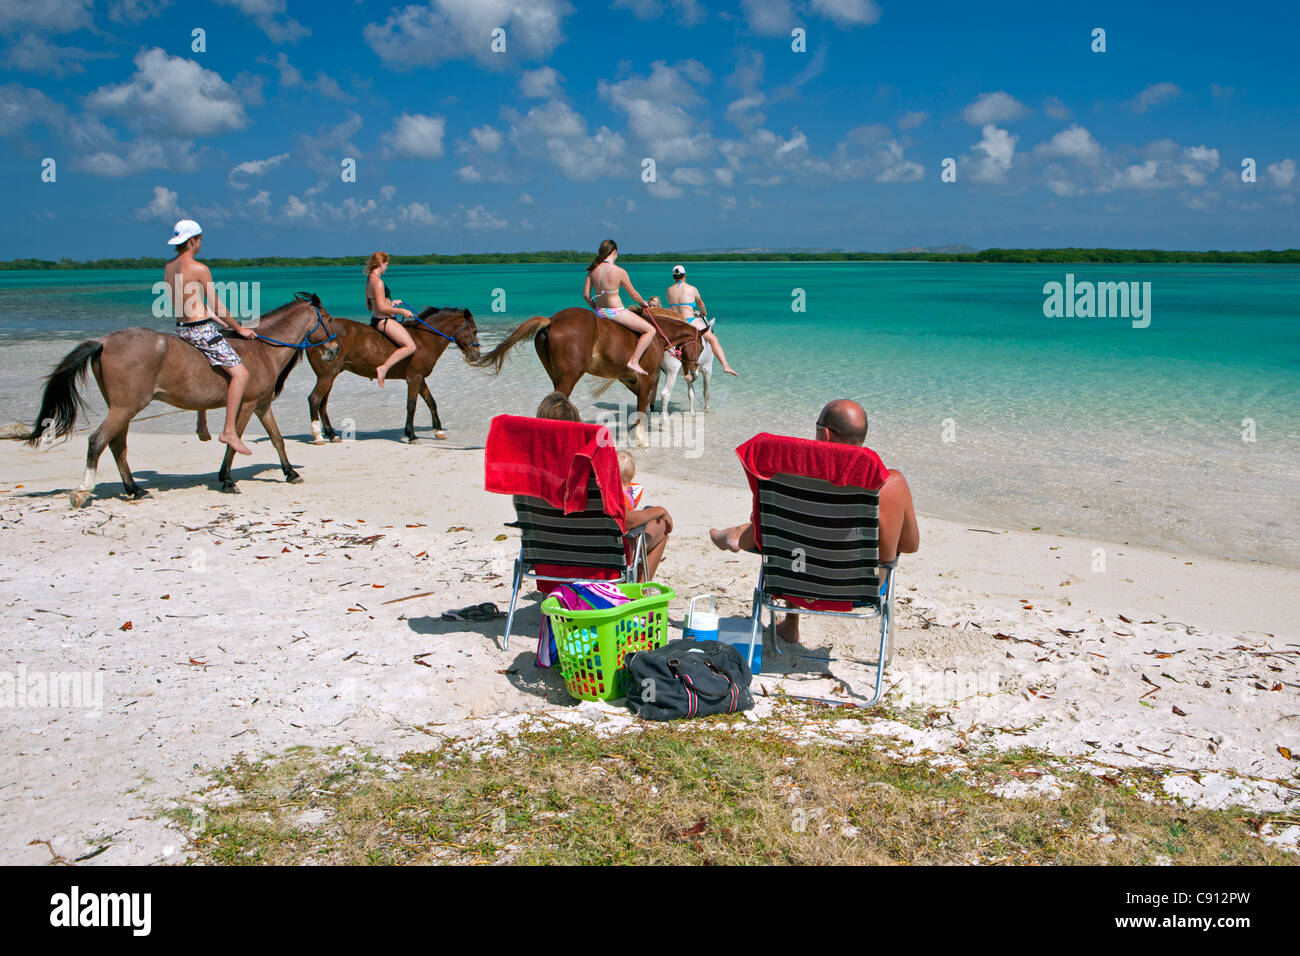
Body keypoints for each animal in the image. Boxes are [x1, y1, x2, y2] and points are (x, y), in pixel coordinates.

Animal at [28, 293, 340, 509]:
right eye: (327, 318)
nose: (335, 349)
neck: (261, 348)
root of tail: (104, 341)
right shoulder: (247, 404)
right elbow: (234, 441)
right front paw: (227, 479)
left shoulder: (262, 406)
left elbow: (277, 439)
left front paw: (290, 473)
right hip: (125, 408)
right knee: (97, 441)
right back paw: (83, 491)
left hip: (123, 409)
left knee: (117, 446)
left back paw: (134, 489)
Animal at [475, 304, 707, 447]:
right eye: (702, 346)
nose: (693, 374)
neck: (656, 334)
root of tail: (552, 320)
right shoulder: (647, 377)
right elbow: (642, 405)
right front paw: (641, 438)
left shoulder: (629, 378)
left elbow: (641, 403)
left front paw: (636, 428)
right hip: (570, 377)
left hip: (557, 376)